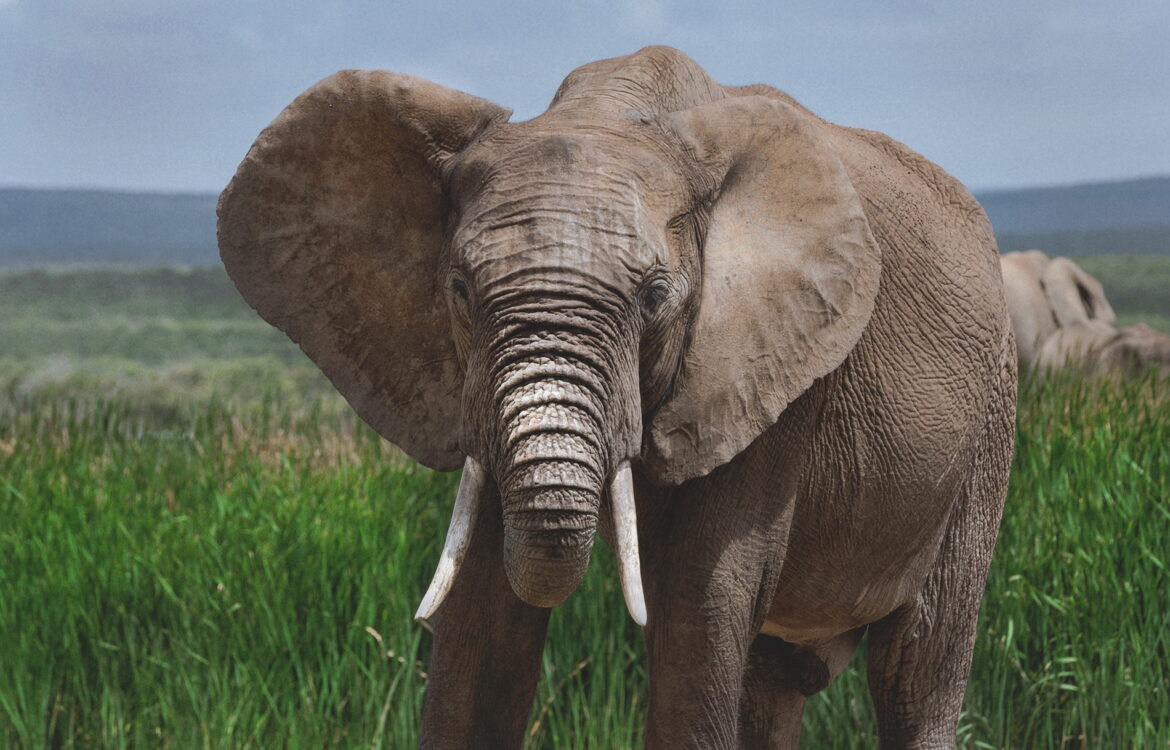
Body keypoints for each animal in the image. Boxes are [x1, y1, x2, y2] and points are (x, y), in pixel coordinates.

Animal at [217, 48, 1015, 748]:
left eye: (656, 297)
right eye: (459, 290)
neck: (612, 109)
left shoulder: (775, 379)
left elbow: (700, 607)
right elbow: (483, 621)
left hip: (989, 421)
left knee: (917, 665)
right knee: (776, 680)